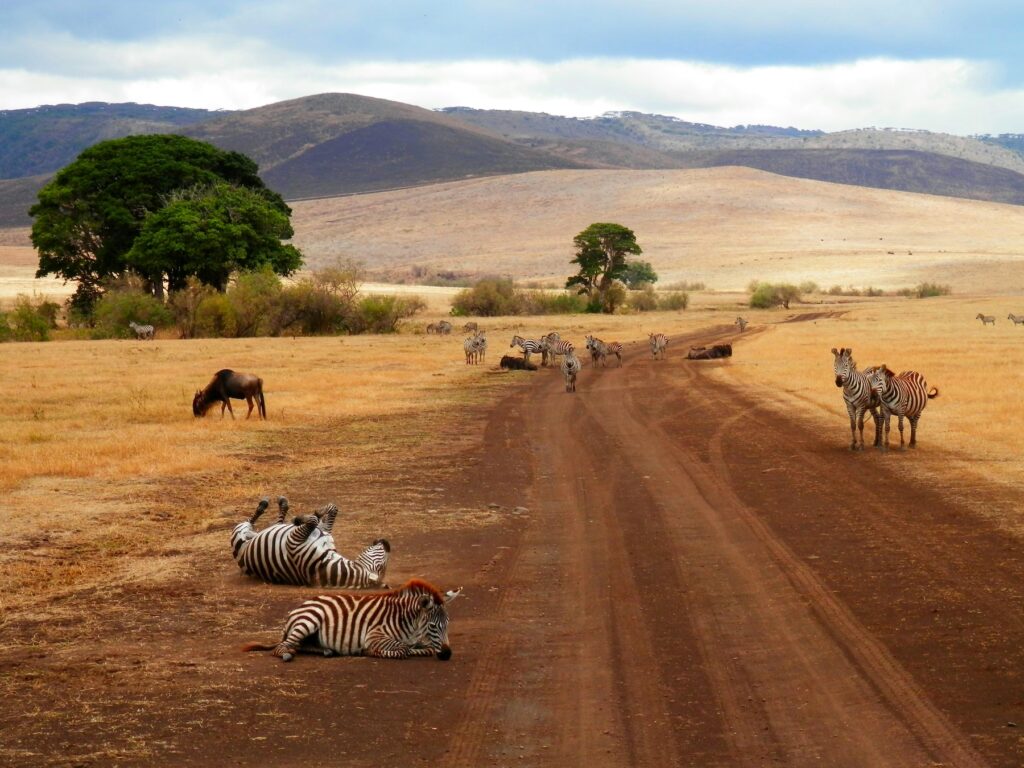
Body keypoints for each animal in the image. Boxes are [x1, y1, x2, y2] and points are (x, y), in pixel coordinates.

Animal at [231, 497, 390, 588]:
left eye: (382, 565)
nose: (388, 544)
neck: (327, 560)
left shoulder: (293, 541)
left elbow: (313, 520)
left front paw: (300, 518)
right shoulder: (325, 532)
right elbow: (332, 509)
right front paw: (318, 513)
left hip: (239, 533)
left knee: (250, 520)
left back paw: (266, 505)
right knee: (277, 522)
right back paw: (282, 505)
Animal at [243, 580, 463, 661]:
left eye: (447, 624)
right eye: (432, 626)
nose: (447, 654)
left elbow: (425, 647)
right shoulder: (375, 636)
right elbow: (402, 649)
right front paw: (370, 652)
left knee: (300, 645)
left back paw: (326, 651)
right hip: (308, 621)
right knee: (283, 647)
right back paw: (288, 654)